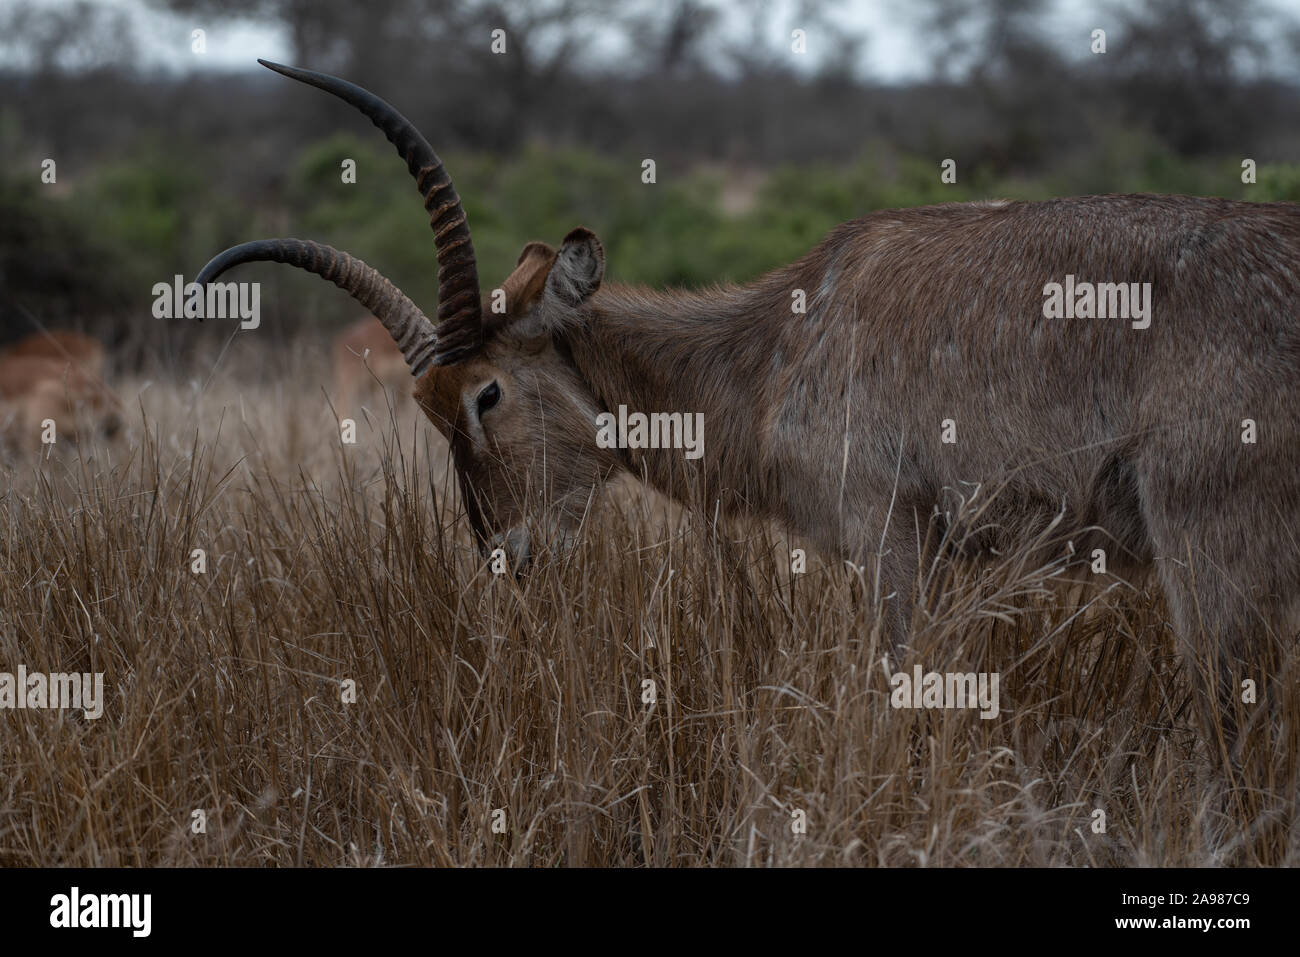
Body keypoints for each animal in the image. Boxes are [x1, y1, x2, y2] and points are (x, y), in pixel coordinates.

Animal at [195, 63, 1300, 759]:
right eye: (424, 407)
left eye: (486, 391)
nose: (507, 556)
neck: (775, 345)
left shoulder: (890, 541)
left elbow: (899, 694)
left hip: (1208, 555)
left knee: (1226, 723)